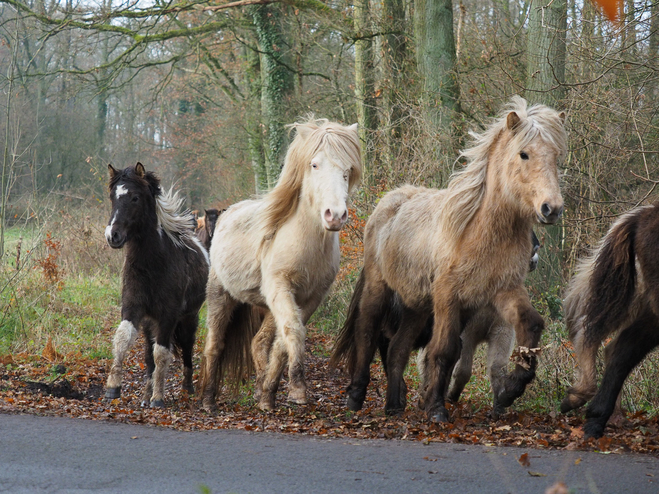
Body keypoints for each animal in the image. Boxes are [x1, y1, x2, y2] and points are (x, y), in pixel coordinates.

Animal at [104, 164, 209, 408]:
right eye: (113, 197)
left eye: (135, 198)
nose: (113, 236)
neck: (152, 265)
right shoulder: (132, 308)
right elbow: (123, 339)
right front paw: (113, 387)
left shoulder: (168, 315)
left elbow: (162, 353)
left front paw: (158, 398)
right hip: (149, 323)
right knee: (148, 353)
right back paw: (145, 393)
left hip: (189, 317)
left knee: (187, 347)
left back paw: (186, 387)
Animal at [204, 117, 364, 412]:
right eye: (314, 164)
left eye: (348, 169)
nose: (335, 215)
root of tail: (227, 213)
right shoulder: (281, 288)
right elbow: (294, 330)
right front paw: (297, 388)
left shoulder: (310, 298)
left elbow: (282, 342)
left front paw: (269, 393)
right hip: (221, 296)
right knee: (215, 346)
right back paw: (208, 400)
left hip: (266, 306)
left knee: (259, 342)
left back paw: (259, 389)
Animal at [330, 96, 568, 420]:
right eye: (524, 154)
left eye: (556, 156)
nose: (551, 208)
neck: (478, 231)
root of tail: (388, 202)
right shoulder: (447, 295)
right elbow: (443, 350)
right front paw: (436, 408)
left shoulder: (502, 291)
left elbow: (531, 325)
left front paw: (510, 390)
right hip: (380, 290)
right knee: (367, 332)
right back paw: (356, 396)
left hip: (416, 306)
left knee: (397, 350)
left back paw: (394, 404)